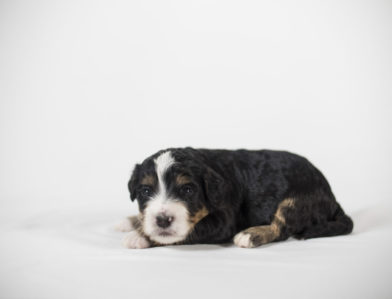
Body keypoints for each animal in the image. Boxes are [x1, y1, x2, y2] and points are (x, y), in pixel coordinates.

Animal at [118, 148, 354, 248]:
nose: (162, 220)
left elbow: (188, 231)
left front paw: (139, 236)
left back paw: (251, 235)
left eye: (187, 190)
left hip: (297, 200)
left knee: (281, 228)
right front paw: (131, 222)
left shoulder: (223, 221)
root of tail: (332, 198)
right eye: (145, 191)